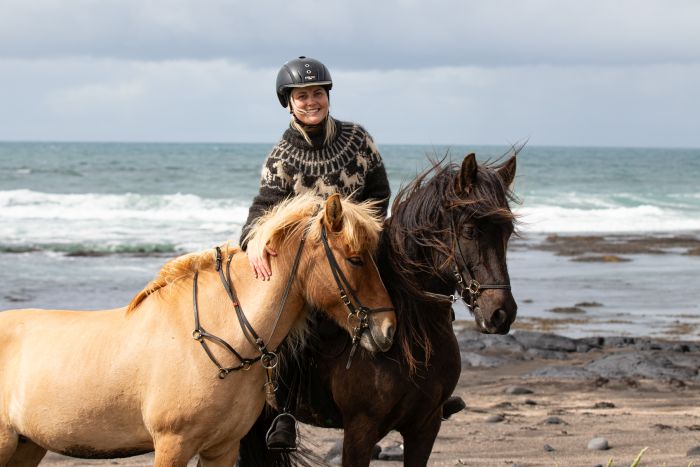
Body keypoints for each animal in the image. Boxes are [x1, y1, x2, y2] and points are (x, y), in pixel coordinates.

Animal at [0, 193, 394, 467]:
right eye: (355, 259)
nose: (388, 329)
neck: (218, 341)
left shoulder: (222, 448)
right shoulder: (172, 445)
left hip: (27, 447)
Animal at [241, 154, 520, 467]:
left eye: (508, 232)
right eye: (470, 231)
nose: (501, 313)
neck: (412, 335)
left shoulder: (426, 426)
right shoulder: (361, 429)